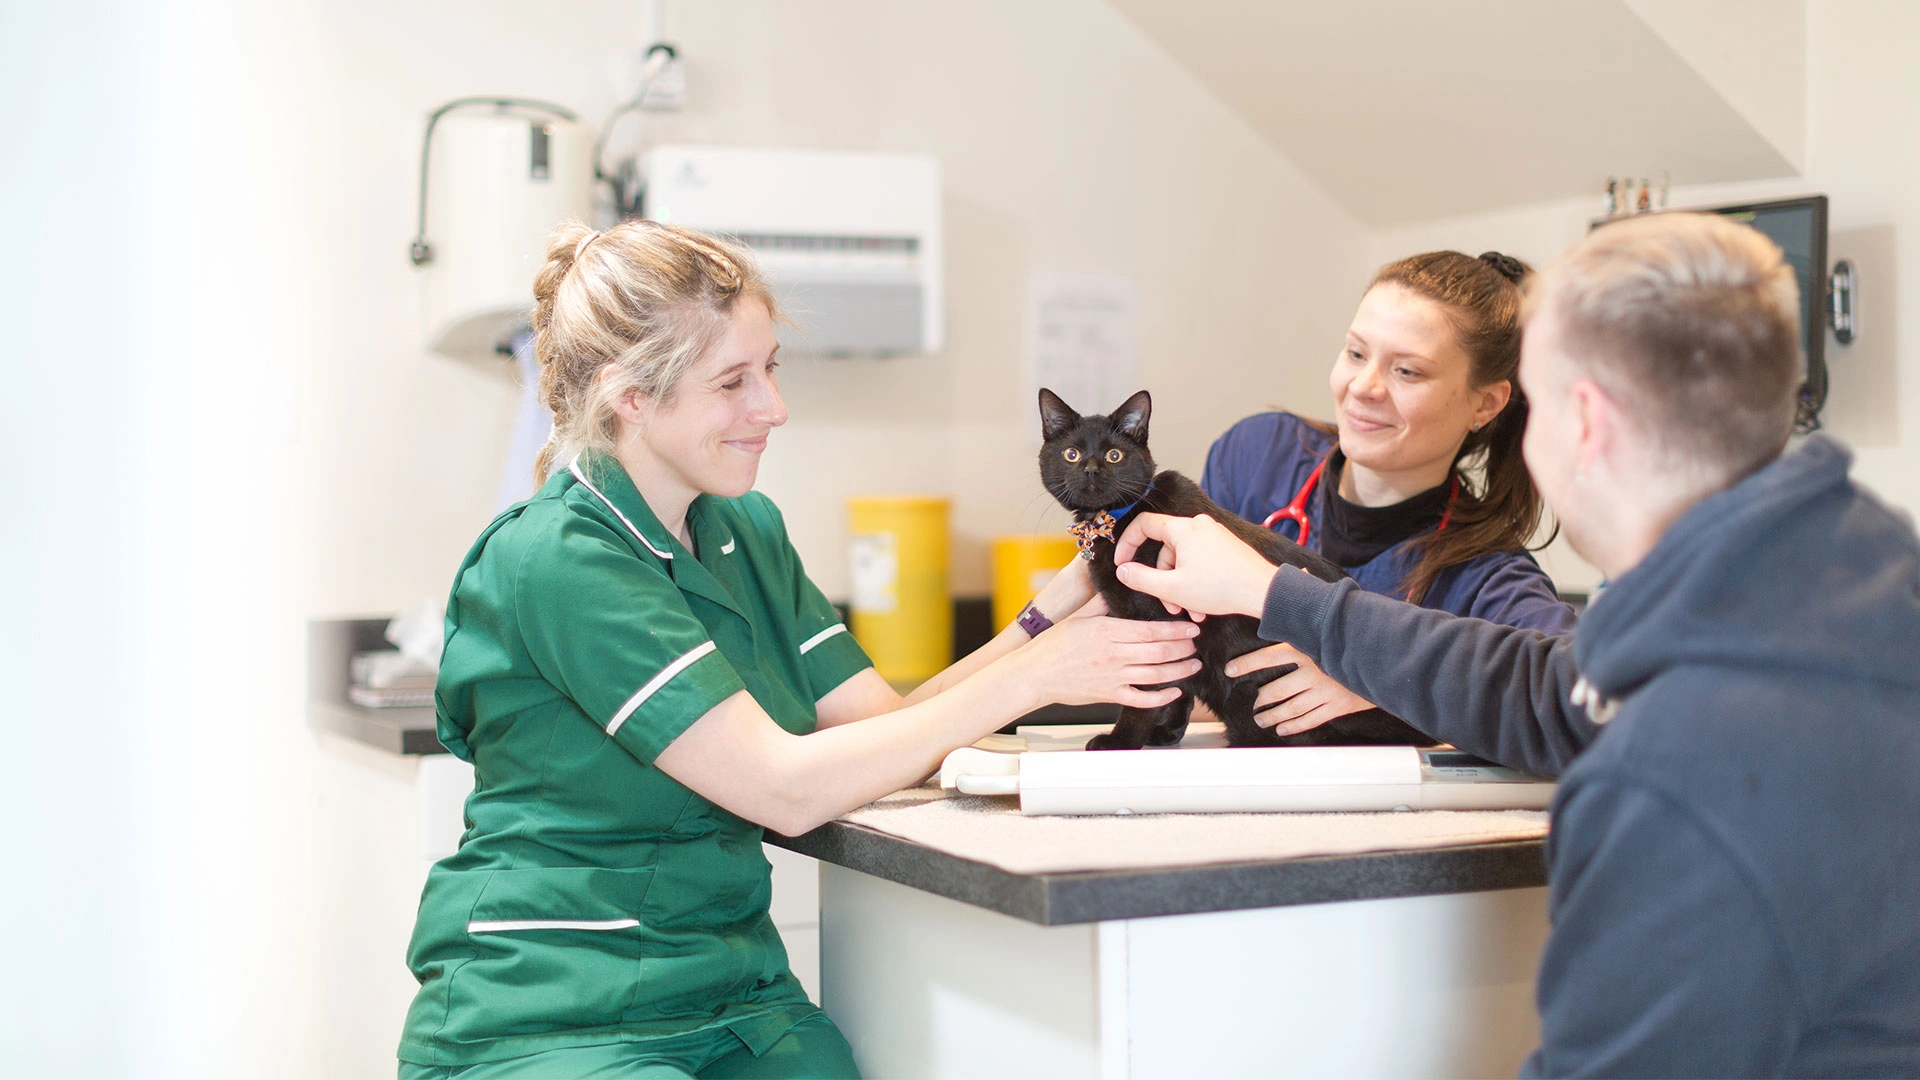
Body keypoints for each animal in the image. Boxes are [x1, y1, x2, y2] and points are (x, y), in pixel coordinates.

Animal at [1036, 386, 1443, 749]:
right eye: (1071, 454)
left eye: (1115, 455)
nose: (1091, 470)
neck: (1118, 518)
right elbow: (1178, 682)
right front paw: (1166, 733)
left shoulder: (1156, 624)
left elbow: (1144, 692)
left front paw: (1122, 741)